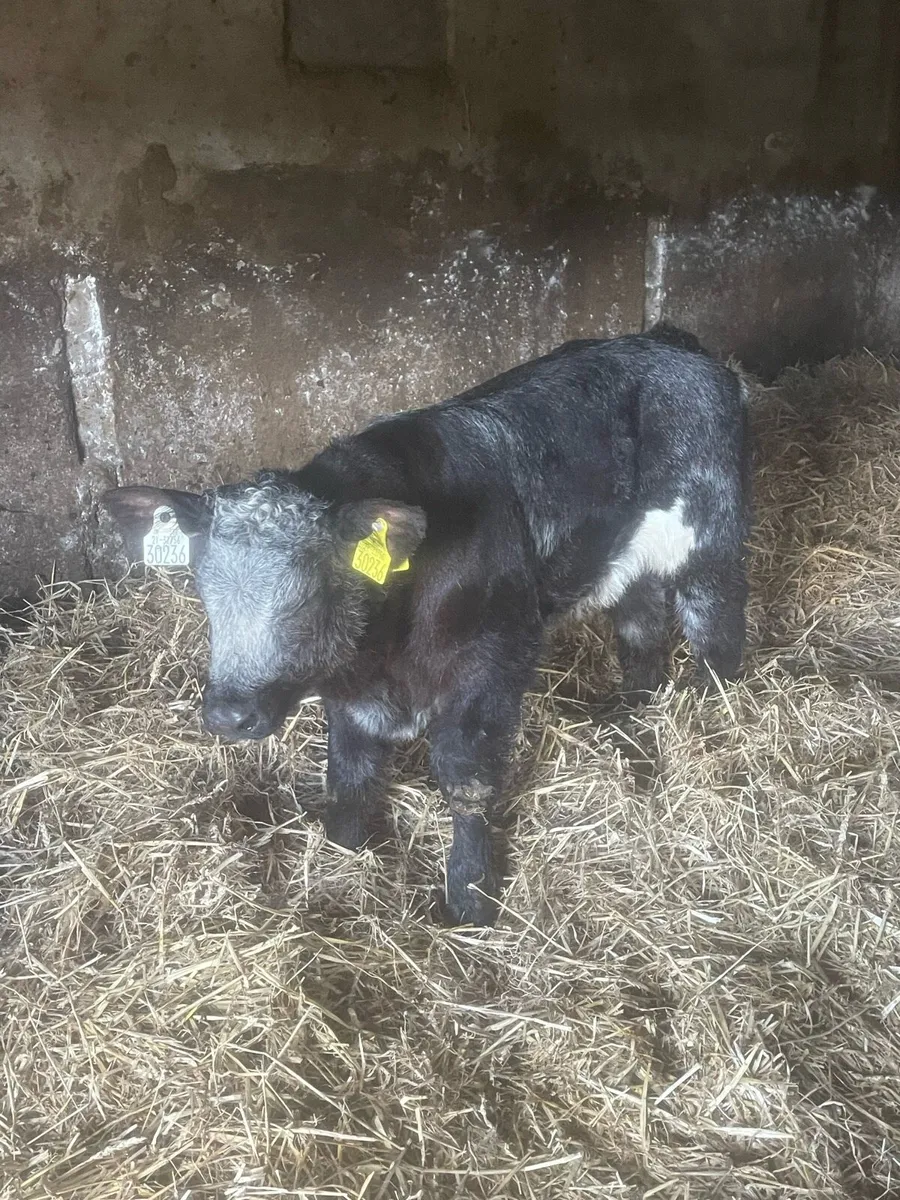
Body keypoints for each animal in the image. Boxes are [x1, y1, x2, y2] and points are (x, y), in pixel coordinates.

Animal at [104, 324, 750, 927]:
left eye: (309, 593)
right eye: (202, 588)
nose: (228, 716)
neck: (387, 654)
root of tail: (670, 344)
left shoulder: (491, 668)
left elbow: (466, 781)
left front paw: (471, 894)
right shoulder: (351, 693)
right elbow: (349, 771)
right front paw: (346, 852)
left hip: (711, 539)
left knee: (716, 629)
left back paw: (714, 713)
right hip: (630, 560)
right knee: (641, 625)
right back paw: (635, 709)